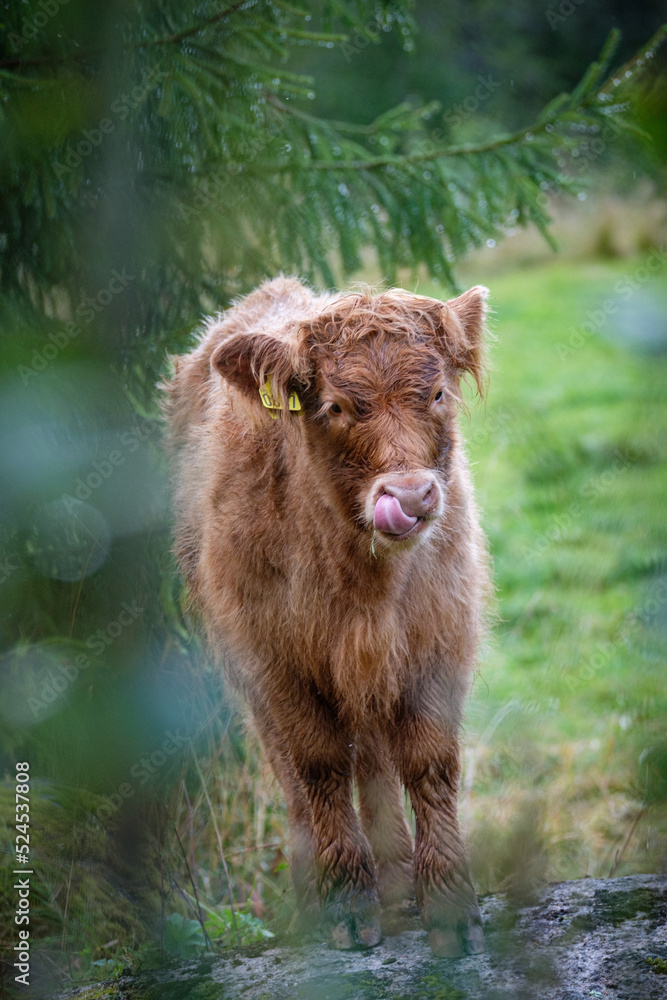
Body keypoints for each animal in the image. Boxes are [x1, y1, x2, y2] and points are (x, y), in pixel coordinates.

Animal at [163, 276, 491, 957]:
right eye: (336, 406)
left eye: (437, 392)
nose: (411, 496)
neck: (367, 585)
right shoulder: (275, 659)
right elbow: (319, 766)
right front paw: (345, 905)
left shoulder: (440, 636)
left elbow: (430, 764)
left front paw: (449, 905)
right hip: (248, 675)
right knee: (295, 775)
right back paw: (320, 895)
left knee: (374, 759)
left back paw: (397, 886)